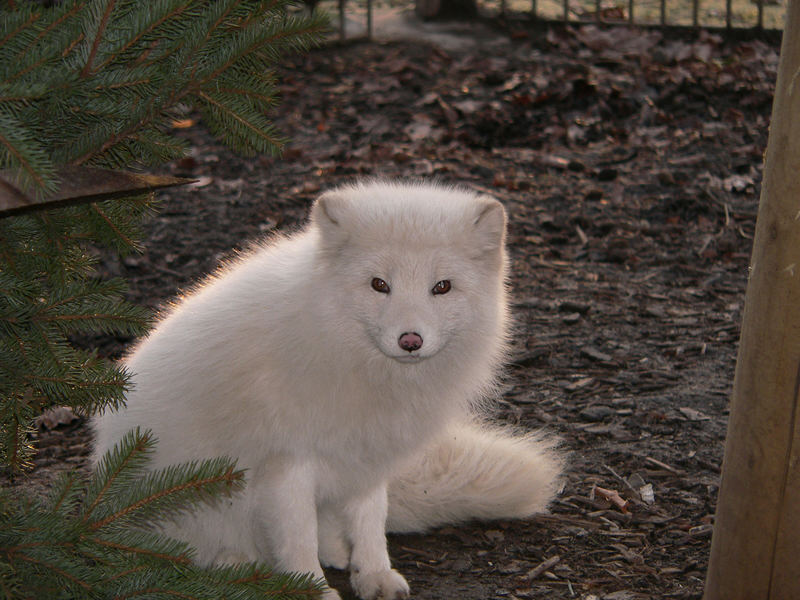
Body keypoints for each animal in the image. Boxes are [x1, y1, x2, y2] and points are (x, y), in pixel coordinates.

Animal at [92, 182, 564, 600]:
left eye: (442, 287)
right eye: (379, 285)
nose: (410, 341)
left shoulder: (368, 455)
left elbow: (371, 522)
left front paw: (373, 574)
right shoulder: (286, 466)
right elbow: (298, 543)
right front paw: (312, 590)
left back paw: (335, 551)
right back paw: (238, 564)